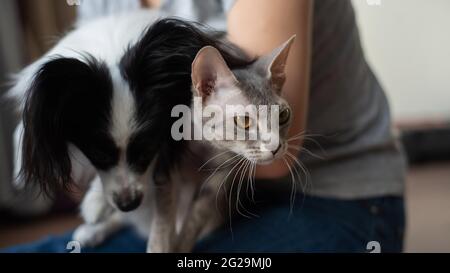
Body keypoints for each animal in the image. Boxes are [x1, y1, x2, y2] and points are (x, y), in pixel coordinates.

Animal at [75, 35, 298, 252]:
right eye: (244, 121)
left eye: (284, 115)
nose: (276, 147)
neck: (206, 148)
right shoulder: (165, 168)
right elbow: (163, 220)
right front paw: (160, 246)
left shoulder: (220, 178)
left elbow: (194, 219)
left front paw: (180, 245)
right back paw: (91, 229)